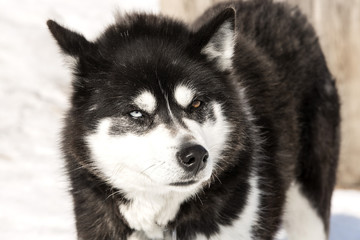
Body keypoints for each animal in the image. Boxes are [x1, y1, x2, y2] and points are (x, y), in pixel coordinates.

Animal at [47, 0, 340, 239]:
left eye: (196, 103)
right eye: (136, 113)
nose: (195, 155)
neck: (159, 221)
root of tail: (281, 9)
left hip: (309, 208)